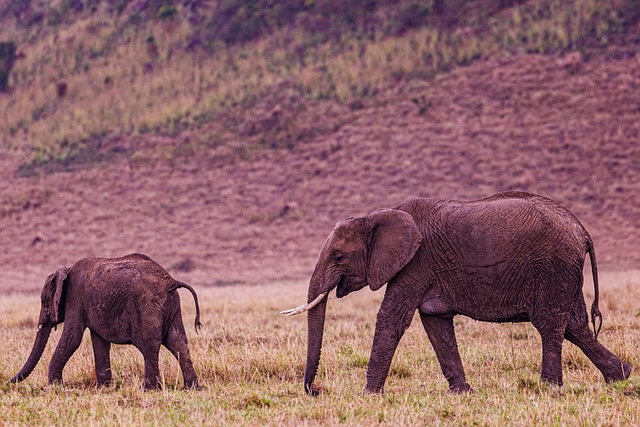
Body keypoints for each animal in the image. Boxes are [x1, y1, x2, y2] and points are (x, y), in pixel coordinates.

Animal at [10, 254, 202, 392]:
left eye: (43, 301)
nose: (9, 382)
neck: (67, 269)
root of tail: (171, 281)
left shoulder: (75, 298)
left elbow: (72, 339)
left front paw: (54, 387)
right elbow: (99, 341)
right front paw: (104, 388)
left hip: (148, 306)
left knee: (149, 346)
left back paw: (147, 390)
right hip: (173, 306)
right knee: (178, 342)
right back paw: (191, 389)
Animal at [284, 192, 632, 396]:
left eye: (338, 257)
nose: (314, 391)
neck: (377, 215)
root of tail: (582, 230)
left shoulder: (417, 262)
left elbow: (392, 318)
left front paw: (368, 395)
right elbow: (435, 322)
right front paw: (462, 393)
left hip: (553, 267)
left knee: (550, 324)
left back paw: (549, 389)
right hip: (565, 271)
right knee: (576, 326)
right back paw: (620, 376)